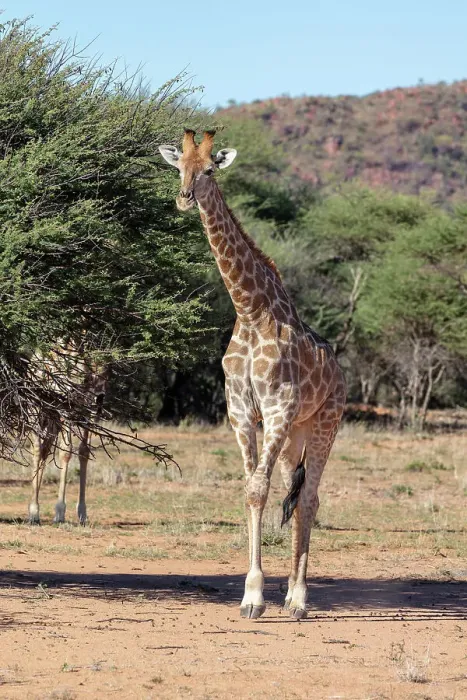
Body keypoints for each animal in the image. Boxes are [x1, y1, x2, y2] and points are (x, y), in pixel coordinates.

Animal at [28, 348, 107, 526]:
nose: (100, 397)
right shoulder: (66, 407)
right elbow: (66, 452)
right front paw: (59, 513)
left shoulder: (89, 409)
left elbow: (84, 452)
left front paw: (82, 513)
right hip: (36, 411)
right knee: (37, 449)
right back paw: (33, 512)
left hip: (53, 419)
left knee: (45, 451)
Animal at [159, 130, 347, 619]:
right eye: (179, 166)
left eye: (210, 170)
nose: (184, 198)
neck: (250, 311)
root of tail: (341, 371)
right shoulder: (241, 410)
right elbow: (251, 489)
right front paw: (252, 595)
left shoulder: (277, 407)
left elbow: (260, 489)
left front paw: (257, 596)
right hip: (296, 435)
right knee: (294, 491)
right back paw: (290, 594)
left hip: (325, 424)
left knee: (311, 497)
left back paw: (299, 599)